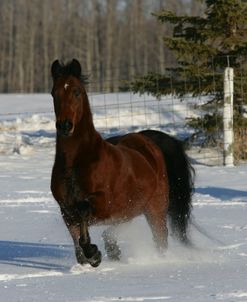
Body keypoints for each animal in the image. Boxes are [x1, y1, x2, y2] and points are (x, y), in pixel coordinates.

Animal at [50, 59, 195, 266]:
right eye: (54, 93)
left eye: (76, 92)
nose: (65, 126)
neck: (76, 164)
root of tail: (147, 140)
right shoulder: (66, 210)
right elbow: (77, 242)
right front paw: (89, 257)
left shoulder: (104, 204)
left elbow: (84, 213)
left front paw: (94, 253)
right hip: (131, 208)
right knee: (115, 231)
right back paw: (114, 251)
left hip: (155, 208)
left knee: (160, 238)